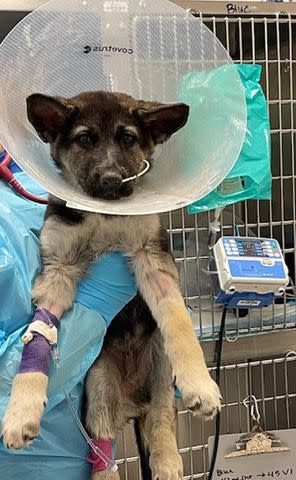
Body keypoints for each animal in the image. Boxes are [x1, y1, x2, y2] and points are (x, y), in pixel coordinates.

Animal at [1, 92, 220, 478]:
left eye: (128, 138)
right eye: (85, 139)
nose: (111, 179)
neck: (104, 215)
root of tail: (132, 404)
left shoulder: (153, 258)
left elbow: (179, 323)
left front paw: (201, 384)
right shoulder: (58, 270)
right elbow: (37, 337)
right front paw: (21, 410)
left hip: (161, 372)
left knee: (161, 421)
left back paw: (168, 461)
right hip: (99, 384)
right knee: (103, 447)